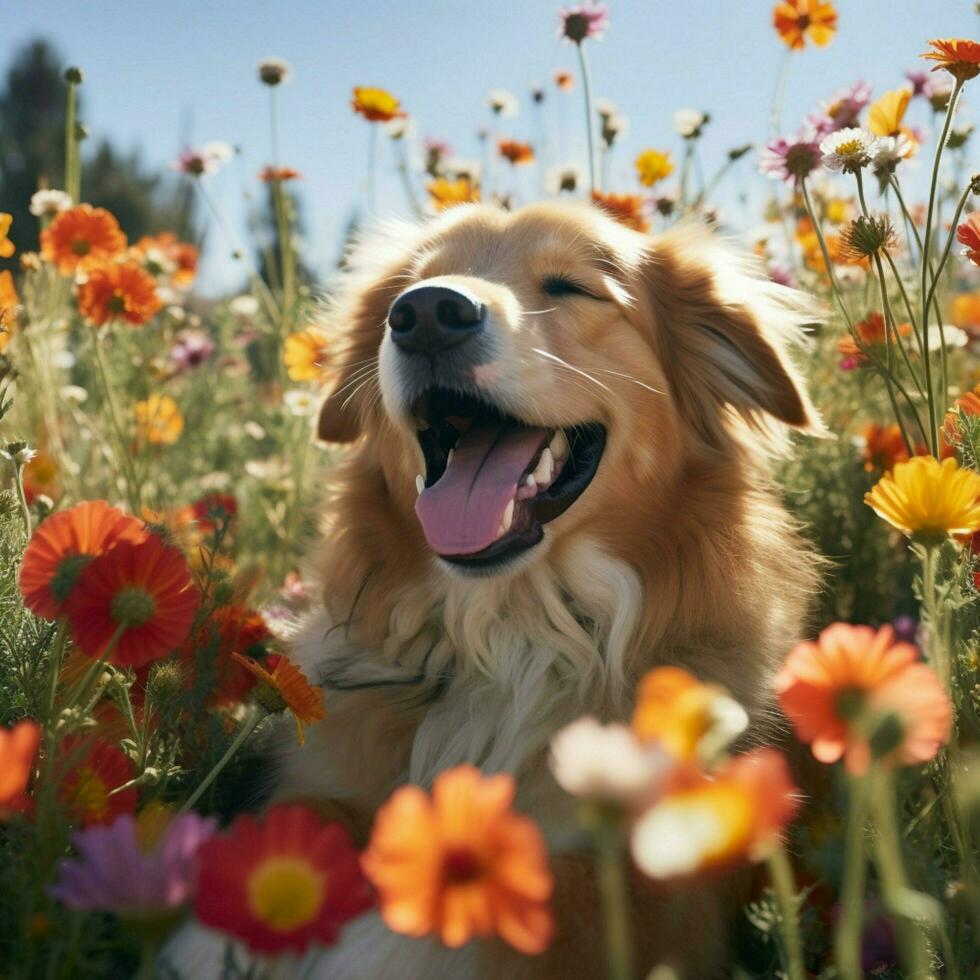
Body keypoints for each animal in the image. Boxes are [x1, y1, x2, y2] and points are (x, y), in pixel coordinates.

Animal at [172, 203, 824, 976]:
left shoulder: (655, 902)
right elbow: (291, 829)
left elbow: (497, 913)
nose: (425, 314)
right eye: (408, 290)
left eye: (572, 286)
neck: (513, 634)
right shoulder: (328, 772)